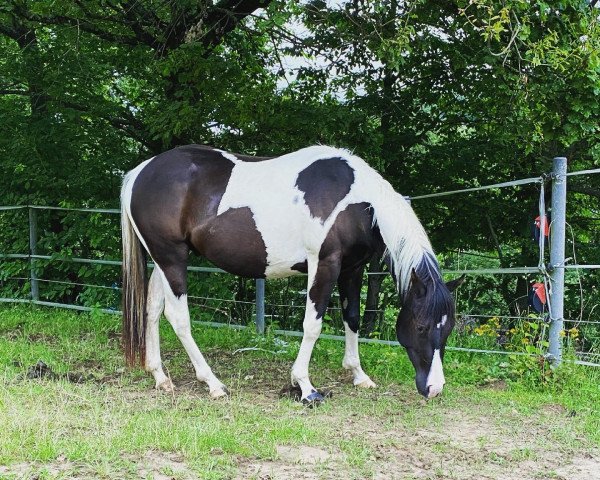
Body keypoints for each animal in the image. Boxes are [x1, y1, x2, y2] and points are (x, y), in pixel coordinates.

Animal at [119, 144, 462, 404]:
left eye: (448, 329)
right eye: (421, 327)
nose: (434, 388)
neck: (356, 202)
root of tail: (140, 172)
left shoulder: (353, 268)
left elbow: (352, 318)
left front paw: (358, 375)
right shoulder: (324, 263)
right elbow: (312, 325)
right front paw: (305, 387)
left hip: (162, 260)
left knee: (153, 309)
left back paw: (160, 377)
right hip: (172, 258)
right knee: (178, 318)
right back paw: (213, 383)